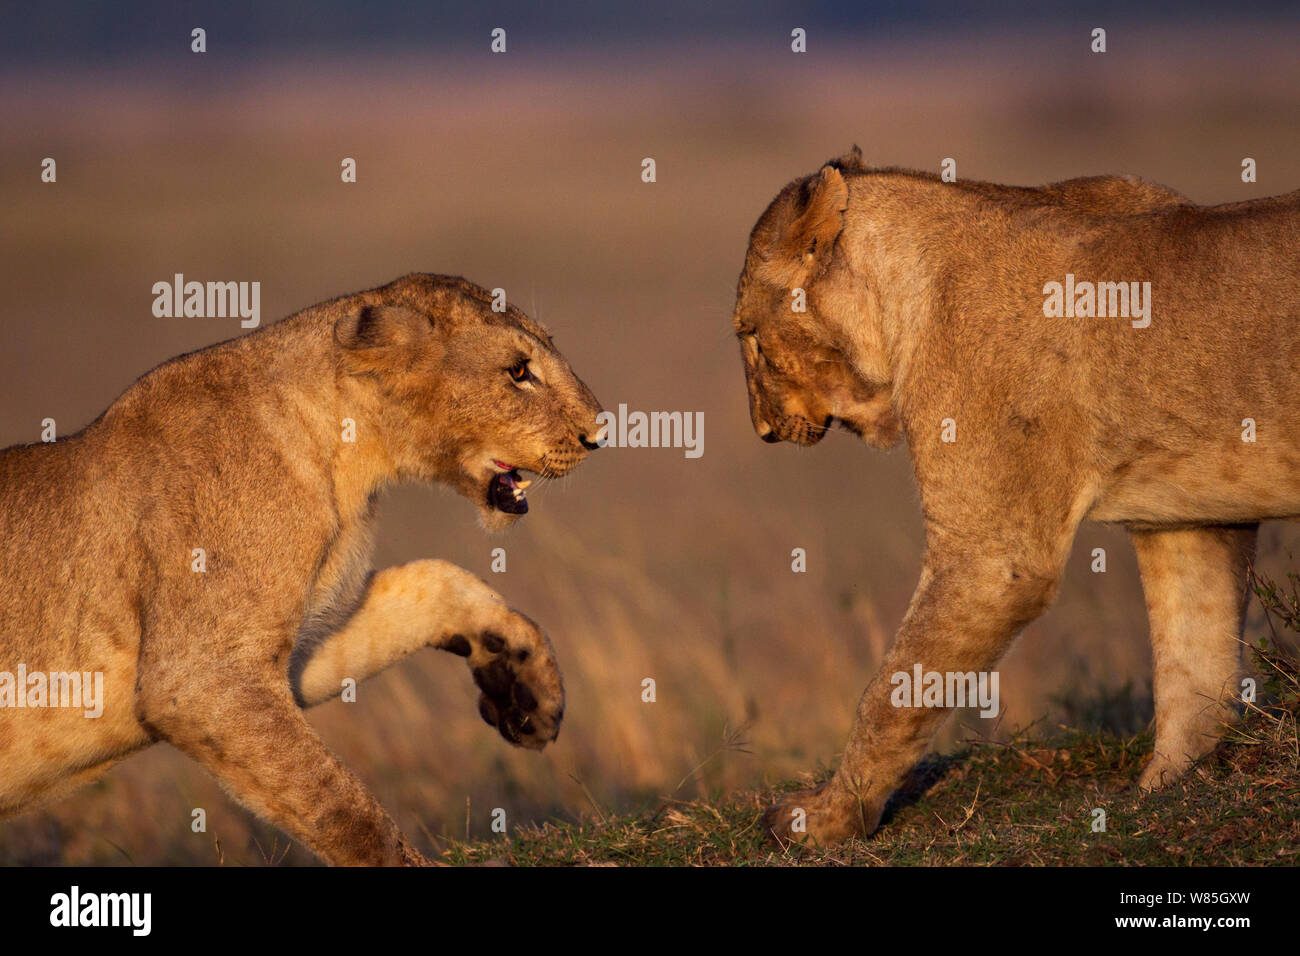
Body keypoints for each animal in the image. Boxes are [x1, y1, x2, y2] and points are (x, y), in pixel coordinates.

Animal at [0, 273, 604, 865]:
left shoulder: (295, 651)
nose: (600, 433)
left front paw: (527, 691)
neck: (351, 461)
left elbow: (435, 580)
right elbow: (335, 801)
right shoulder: (198, 680)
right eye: (519, 371)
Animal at [732, 146, 1300, 846]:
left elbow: (893, 691)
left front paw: (828, 817)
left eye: (750, 336)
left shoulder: (993, 560)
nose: (762, 431)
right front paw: (1165, 789)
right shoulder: (1189, 518)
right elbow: (1194, 663)